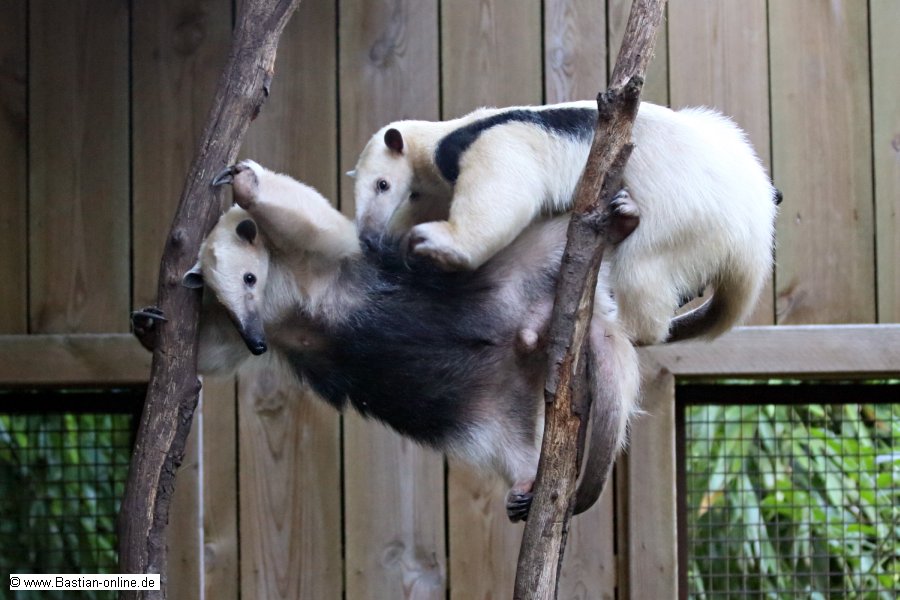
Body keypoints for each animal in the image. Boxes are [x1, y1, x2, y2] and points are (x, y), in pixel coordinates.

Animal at [133, 160, 641, 522]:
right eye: (221, 295)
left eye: (249, 277)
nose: (257, 344)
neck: (279, 287)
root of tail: (536, 325)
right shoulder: (255, 322)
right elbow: (215, 352)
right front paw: (149, 323)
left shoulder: (321, 257)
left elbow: (316, 222)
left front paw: (243, 181)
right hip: (498, 398)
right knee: (511, 441)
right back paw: (524, 486)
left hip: (518, 268)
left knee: (561, 237)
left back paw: (619, 221)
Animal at [349, 100, 779, 346]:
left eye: (382, 184)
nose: (369, 239)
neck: (443, 140)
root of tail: (754, 234)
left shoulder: (496, 143)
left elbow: (504, 193)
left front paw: (432, 243)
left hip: (685, 214)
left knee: (643, 265)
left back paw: (626, 327)